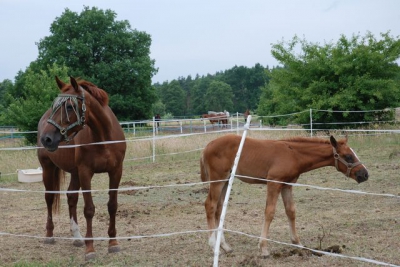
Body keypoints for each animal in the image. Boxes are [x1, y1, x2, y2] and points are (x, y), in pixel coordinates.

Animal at [37, 77, 126, 262]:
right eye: (55, 105)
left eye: (70, 106)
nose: (46, 139)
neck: (103, 138)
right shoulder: (86, 173)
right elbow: (89, 209)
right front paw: (90, 249)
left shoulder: (116, 172)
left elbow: (112, 205)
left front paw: (113, 243)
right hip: (48, 168)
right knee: (49, 198)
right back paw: (49, 235)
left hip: (74, 173)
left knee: (71, 197)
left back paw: (77, 237)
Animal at [200, 135, 368, 258]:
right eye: (348, 156)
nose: (365, 174)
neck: (293, 154)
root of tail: (208, 145)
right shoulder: (274, 183)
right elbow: (269, 212)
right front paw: (263, 248)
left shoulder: (287, 185)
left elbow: (291, 211)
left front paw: (297, 244)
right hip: (217, 180)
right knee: (210, 206)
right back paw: (213, 245)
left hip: (226, 180)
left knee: (219, 209)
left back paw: (224, 246)